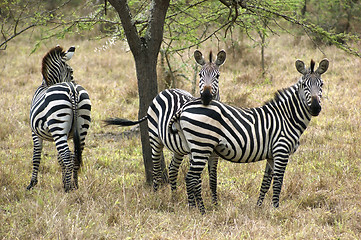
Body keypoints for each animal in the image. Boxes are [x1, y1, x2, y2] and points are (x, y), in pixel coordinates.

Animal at [26, 45, 91, 192]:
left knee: (67, 156)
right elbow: (59, 158)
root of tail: (72, 90)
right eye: (71, 71)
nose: (73, 79)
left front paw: (32, 183)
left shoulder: (34, 133)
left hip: (58, 126)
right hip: (81, 126)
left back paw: (67, 188)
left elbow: (36, 156)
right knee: (76, 156)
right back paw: (75, 185)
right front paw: (64, 180)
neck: (47, 83)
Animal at [102, 49, 224, 201]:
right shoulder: (194, 150)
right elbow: (197, 179)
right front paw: (197, 203)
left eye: (217, 76)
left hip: (178, 148)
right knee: (156, 170)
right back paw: (155, 196)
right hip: (155, 139)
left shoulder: (215, 153)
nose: (206, 96)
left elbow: (213, 179)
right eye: (201, 75)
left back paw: (174, 197)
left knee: (172, 169)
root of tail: (165, 90)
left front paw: (214, 203)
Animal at [172, 58, 330, 214]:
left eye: (321, 84)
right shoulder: (281, 151)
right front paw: (276, 209)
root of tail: (185, 107)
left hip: (194, 147)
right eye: (304, 85)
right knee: (191, 177)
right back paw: (200, 211)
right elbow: (278, 183)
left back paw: (195, 208)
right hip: (202, 145)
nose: (315, 108)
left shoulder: (271, 155)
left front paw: (258, 207)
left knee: (191, 177)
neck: (287, 117)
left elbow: (266, 183)